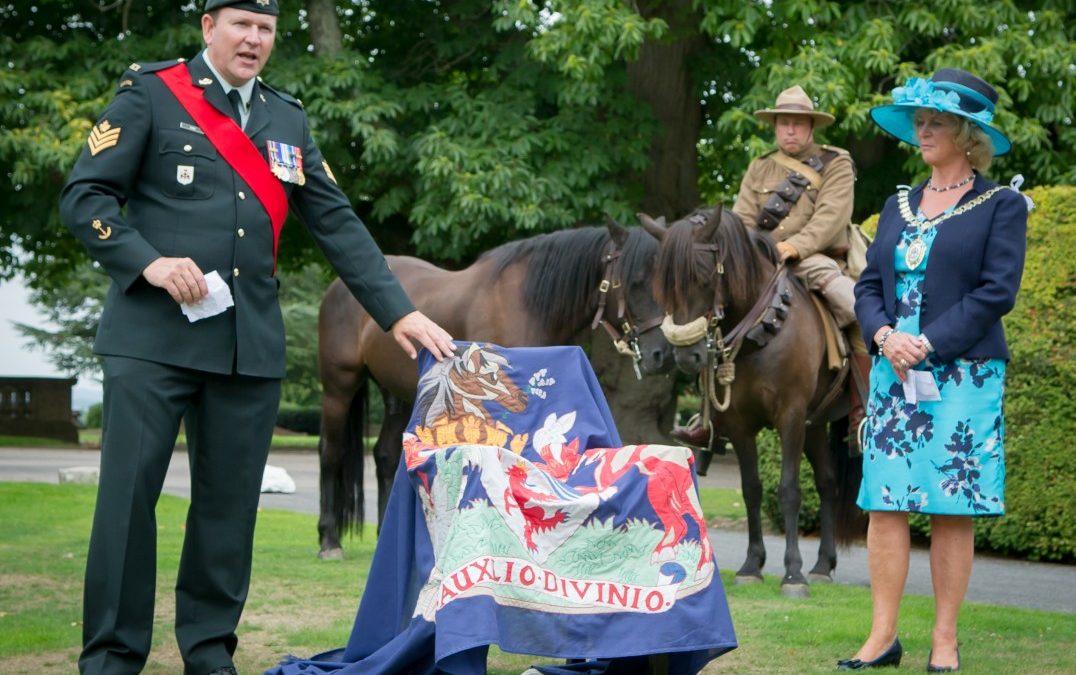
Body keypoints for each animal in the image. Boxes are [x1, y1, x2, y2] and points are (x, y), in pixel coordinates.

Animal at [316, 219, 671, 555]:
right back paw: (329, 540)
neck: (527, 304)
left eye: (661, 282)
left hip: (398, 397)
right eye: (635, 281)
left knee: (385, 455)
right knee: (331, 452)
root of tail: (337, 289)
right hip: (338, 387)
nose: (661, 354)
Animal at [641, 205, 860, 598]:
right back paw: (823, 564)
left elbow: (788, 490)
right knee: (827, 483)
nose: (686, 356)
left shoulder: (791, 417)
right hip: (815, 425)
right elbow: (752, 490)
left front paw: (793, 573)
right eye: (663, 284)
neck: (763, 331)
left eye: (703, 275)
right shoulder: (741, 425)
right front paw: (751, 566)